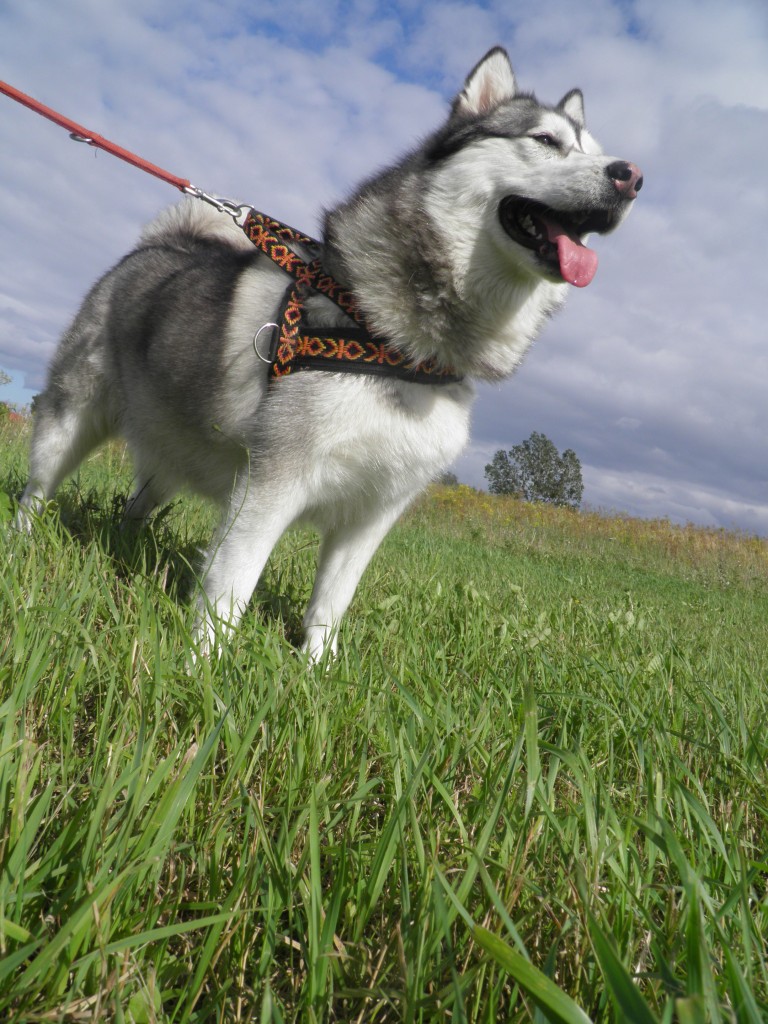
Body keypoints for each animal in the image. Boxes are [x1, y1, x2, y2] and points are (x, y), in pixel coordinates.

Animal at [18, 49, 643, 655]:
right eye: (545, 140)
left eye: (597, 152)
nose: (631, 176)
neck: (399, 347)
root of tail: (162, 243)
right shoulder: (270, 483)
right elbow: (230, 588)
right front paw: (202, 669)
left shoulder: (376, 512)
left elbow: (331, 606)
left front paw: (315, 670)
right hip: (69, 422)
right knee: (36, 490)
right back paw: (23, 543)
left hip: (172, 453)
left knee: (138, 502)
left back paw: (124, 544)